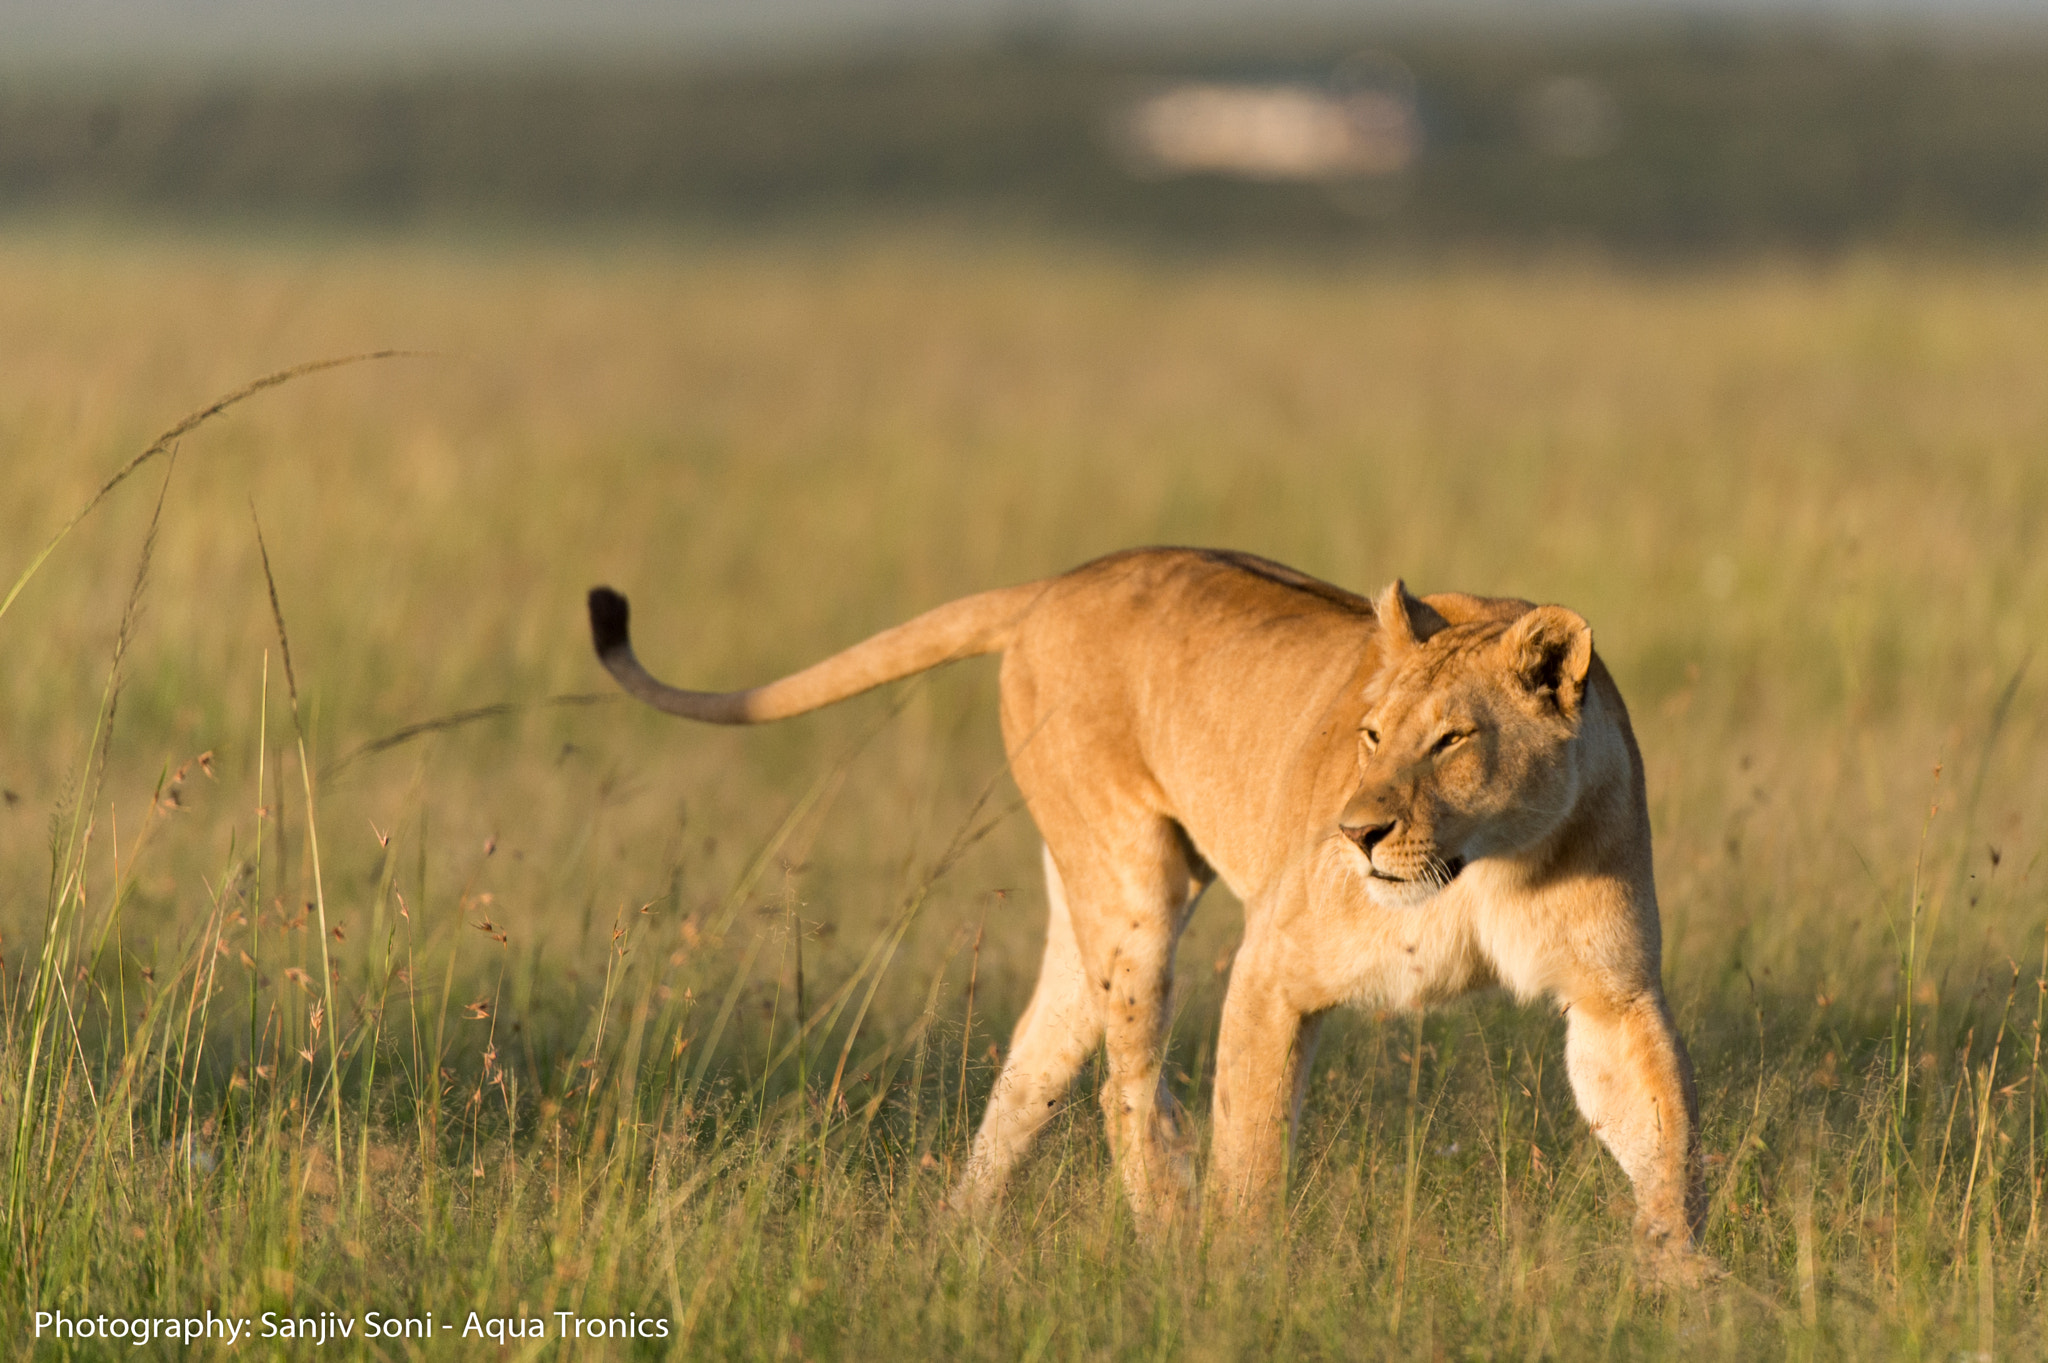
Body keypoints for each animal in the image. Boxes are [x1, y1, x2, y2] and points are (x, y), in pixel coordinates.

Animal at [587, 547, 1707, 1277]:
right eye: (1370, 732)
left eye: (1448, 741)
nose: (1355, 833)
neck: (1486, 862)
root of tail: (1060, 580)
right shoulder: (1272, 971)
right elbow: (1250, 1150)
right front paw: (1237, 1286)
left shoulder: (1611, 993)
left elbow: (1664, 1135)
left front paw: (1687, 1288)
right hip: (1130, 885)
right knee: (1123, 1089)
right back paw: (1164, 1230)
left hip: (1082, 907)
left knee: (1030, 1075)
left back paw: (951, 1242)